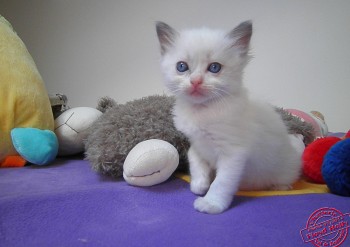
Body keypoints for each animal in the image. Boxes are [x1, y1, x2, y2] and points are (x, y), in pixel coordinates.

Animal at [156, 21, 300, 214]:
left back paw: (280, 187)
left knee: (286, 178)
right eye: (181, 67)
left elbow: (222, 182)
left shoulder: (233, 153)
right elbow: (195, 162)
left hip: (285, 168)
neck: (201, 111)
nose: (195, 81)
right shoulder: (196, 144)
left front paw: (211, 204)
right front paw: (199, 185)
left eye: (214, 67)